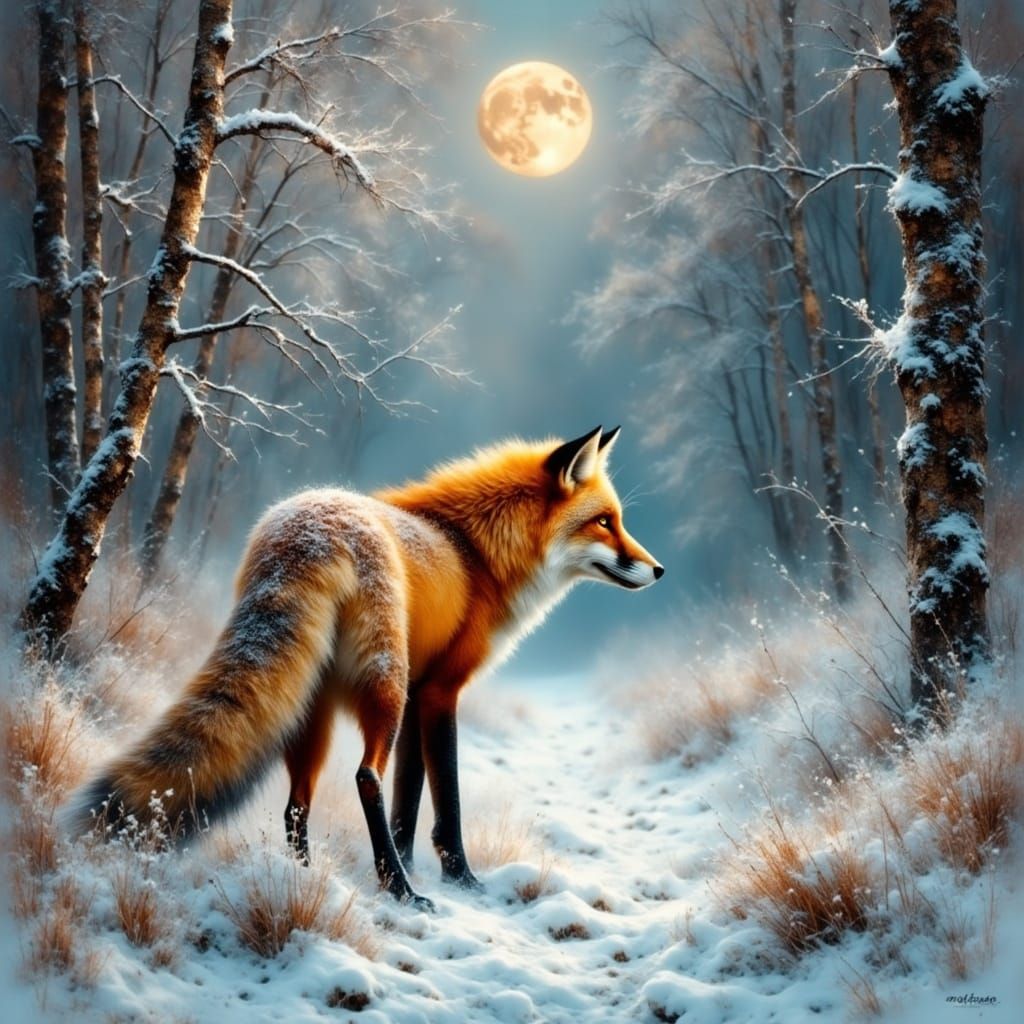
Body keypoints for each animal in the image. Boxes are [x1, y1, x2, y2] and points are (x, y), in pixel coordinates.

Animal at [69, 426, 663, 909]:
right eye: (604, 522)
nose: (658, 570)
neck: (475, 555)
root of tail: (305, 531)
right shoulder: (439, 691)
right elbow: (444, 797)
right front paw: (458, 878)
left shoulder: (419, 693)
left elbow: (409, 797)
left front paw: (402, 860)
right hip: (383, 686)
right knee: (365, 776)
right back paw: (400, 891)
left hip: (314, 709)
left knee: (296, 806)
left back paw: (309, 881)